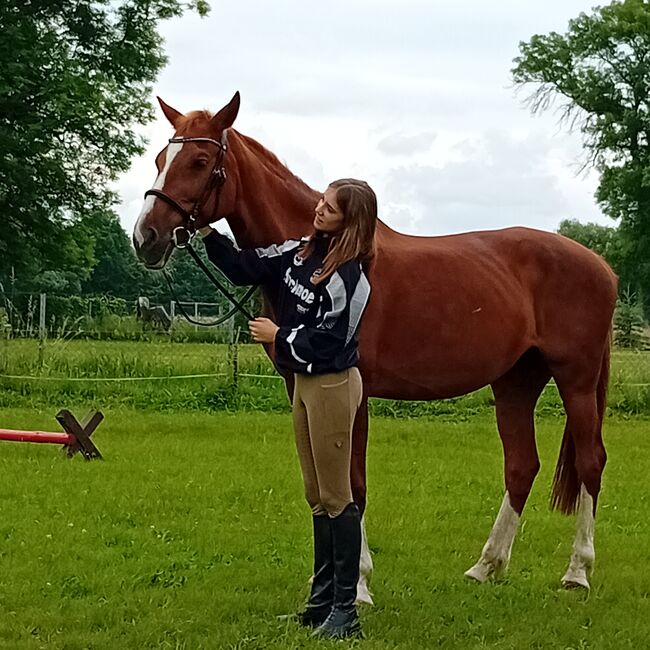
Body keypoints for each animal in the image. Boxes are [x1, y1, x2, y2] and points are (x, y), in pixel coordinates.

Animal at [132, 92, 616, 596]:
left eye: (199, 161)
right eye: (160, 159)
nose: (146, 236)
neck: (332, 253)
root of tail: (600, 264)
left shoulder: (352, 390)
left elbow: (352, 482)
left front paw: (358, 584)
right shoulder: (299, 387)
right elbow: (322, 482)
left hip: (576, 381)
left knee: (590, 462)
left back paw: (577, 571)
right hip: (515, 383)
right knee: (522, 466)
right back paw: (487, 565)